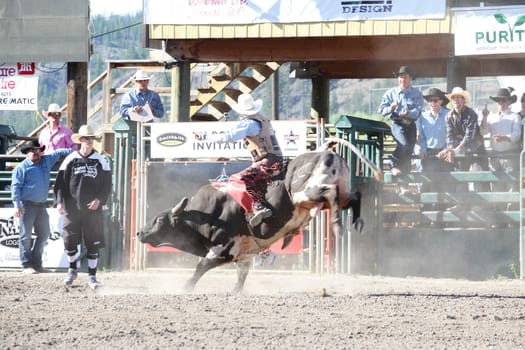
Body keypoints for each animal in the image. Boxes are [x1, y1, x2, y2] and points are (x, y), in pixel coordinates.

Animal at [137, 139, 378, 292]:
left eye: (159, 219)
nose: (140, 232)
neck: (207, 213)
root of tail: (324, 152)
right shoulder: (243, 254)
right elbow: (241, 275)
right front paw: (235, 291)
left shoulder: (223, 248)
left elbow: (200, 267)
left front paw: (185, 287)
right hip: (336, 193)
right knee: (353, 195)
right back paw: (357, 222)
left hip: (307, 193)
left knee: (331, 192)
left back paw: (337, 225)